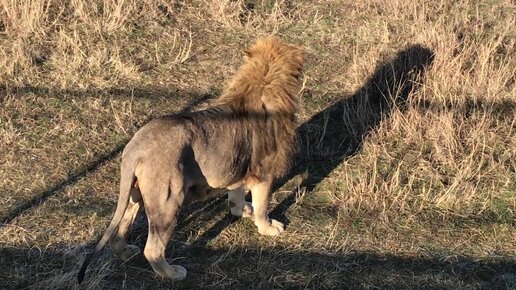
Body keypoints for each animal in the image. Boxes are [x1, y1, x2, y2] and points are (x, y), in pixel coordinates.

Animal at [76, 36, 302, 284]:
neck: (258, 84)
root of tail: (136, 148)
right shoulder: (263, 174)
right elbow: (262, 208)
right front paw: (268, 228)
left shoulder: (236, 167)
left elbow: (236, 196)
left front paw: (242, 210)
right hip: (167, 200)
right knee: (152, 248)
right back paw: (174, 273)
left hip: (134, 195)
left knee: (118, 232)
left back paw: (127, 252)